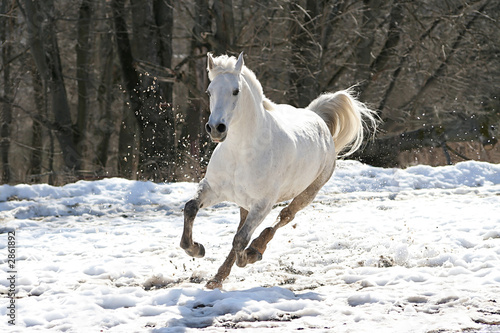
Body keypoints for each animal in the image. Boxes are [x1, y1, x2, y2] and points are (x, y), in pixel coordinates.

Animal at [181, 52, 378, 288]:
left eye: (235, 91)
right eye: (209, 91)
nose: (215, 128)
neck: (240, 153)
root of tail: (317, 118)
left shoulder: (263, 203)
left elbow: (240, 240)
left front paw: (251, 256)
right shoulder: (213, 189)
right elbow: (191, 208)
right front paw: (196, 249)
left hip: (308, 192)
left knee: (284, 217)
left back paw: (257, 248)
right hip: (245, 202)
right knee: (244, 226)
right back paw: (217, 278)